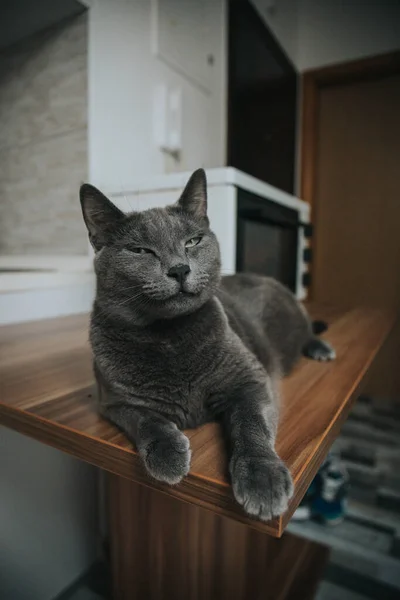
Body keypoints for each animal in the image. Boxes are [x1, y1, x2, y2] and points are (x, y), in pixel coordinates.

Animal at [79, 168, 334, 520]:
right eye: (141, 251)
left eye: (193, 241)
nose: (179, 268)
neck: (169, 336)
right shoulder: (113, 401)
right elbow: (146, 420)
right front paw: (168, 455)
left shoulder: (251, 378)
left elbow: (250, 423)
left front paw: (262, 479)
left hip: (295, 319)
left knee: (309, 328)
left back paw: (320, 348)